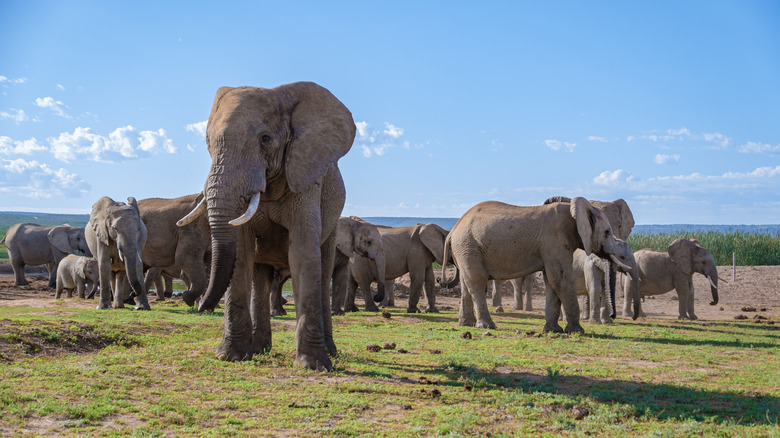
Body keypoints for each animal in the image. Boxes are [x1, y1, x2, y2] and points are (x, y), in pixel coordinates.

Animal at [176, 81, 354, 370]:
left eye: (265, 139)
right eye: (208, 143)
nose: (200, 305)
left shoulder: (305, 177)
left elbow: (304, 253)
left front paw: (313, 365)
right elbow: (241, 253)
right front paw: (230, 356)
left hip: (334, 220)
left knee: (323, 267)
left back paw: (331, 351)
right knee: (260, 276)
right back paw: (259, 349)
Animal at [442, 198, 636, 332]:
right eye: (607, 232)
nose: (612, 316)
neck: (577, 208)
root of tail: (452, 231)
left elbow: (552, 281)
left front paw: (554, 331)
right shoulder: (554, 240)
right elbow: (560, 279)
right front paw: (577, 331)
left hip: (465, 249)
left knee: (466, 284)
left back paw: (466, 324)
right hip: (469, 245)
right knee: (477, 281)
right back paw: (487, 326)